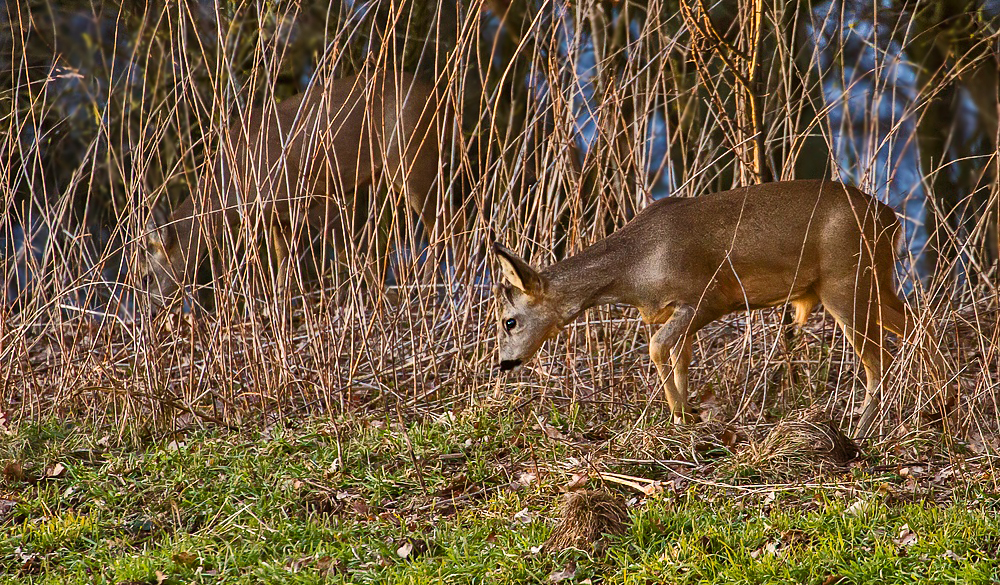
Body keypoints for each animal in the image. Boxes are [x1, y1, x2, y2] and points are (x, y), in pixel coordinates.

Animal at [141, 70, 460, 310]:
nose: (150, 312)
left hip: (412, 157)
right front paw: (278, 312)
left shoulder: (316, 195)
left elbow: (351, 252)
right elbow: (284, 269)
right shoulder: (278, 219)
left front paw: (384, 299)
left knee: (444, 221)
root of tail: (439, 96)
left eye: (146, 277)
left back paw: (432, 292)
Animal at [492, 180, 952, 436]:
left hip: (845, 284)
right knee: (921, 323)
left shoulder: (704, 298)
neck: (634, 269)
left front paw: (680, 415)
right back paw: (942, 406)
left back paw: (865, 426)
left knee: (880, 357)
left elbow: (657, 348)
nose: (503, 362)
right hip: (874, 281)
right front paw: (687, 416)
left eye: (509, 321)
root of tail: (891, 219)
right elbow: (679, 358)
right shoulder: (677, 311)